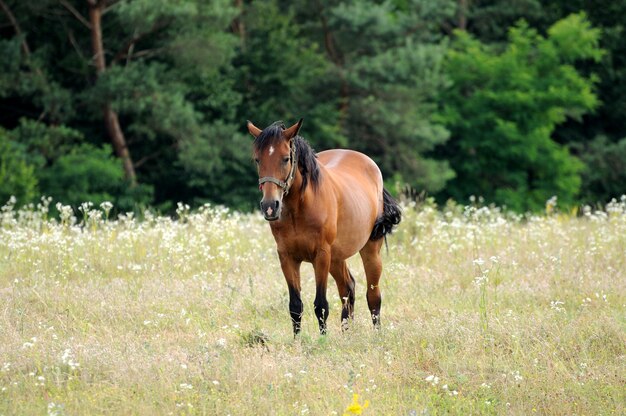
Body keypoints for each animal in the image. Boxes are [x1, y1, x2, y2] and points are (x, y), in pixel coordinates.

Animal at [245, 118, 398, 334]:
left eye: (286, 159)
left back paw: (377, 335)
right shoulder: (287, 257)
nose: (269, 206)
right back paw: (347, 334)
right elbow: (295, 306)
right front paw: (298, 340)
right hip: (337, 257)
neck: (299, 210)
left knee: (373, 296)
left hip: (369, 251)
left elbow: (321, 305)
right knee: (347, 288)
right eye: (258, 160)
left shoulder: (321, 255)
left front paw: (323, 339)